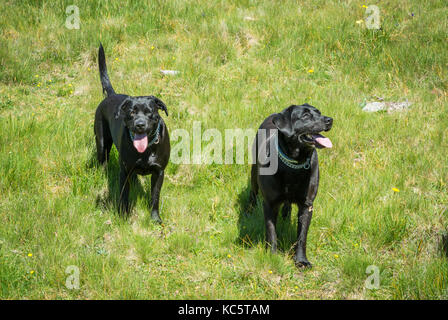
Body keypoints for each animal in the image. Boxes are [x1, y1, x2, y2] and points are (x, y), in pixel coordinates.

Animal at [94, 45, 170, 222]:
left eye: (150, 112)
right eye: (132, 112)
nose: (140, 125)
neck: (146, 150)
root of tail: (112, 95)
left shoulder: (159, 172)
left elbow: (155, 196)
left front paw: (155, 219)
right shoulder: (125, 171)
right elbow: (124, 195)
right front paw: (123, 216)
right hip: (101, 143)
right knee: (102, 161)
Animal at [252, 104, 332, 268]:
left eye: (319, 112)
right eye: (306, 116)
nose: (330, 120)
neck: (294, 165)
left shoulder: (307, 205)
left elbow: (302, 236)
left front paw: (301, 260)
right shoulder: (269, 203)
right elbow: (271, 232)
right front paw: (272, 256)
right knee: (253, 192)